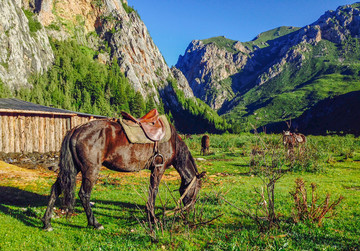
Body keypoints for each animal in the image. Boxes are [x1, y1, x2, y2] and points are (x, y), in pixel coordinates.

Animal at [41, 118, 205, 231]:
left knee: (56, 189)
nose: (189, 212)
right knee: (84, 194)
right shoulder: (159, 168)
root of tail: (76, 130)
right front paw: (152, 218)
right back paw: (95, 223)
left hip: (73, 169)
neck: (171, 141)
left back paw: (46, 223)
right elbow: (153, 192)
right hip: (90, 169)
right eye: (196, 190)